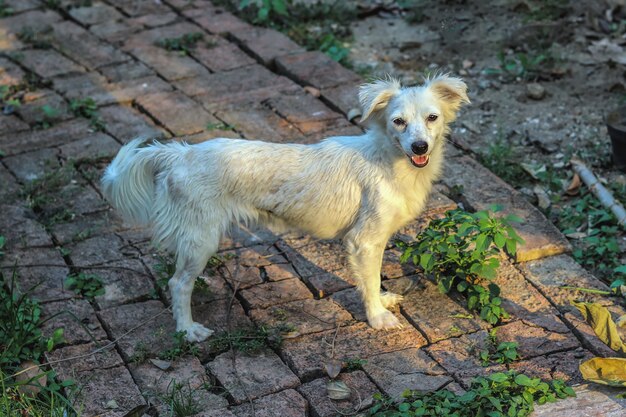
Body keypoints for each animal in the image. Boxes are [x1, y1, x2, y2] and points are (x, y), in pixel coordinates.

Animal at [100, 75, 466, 342]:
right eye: (398, 122)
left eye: (432, 118)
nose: (420, 147)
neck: (388, 160)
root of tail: (181, 153)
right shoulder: (363, 241)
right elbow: (370, 278)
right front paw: (377, 317)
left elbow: (372, 280)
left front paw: (382, 298)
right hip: (201, 238)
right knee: (178, 284)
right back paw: (188, 330)